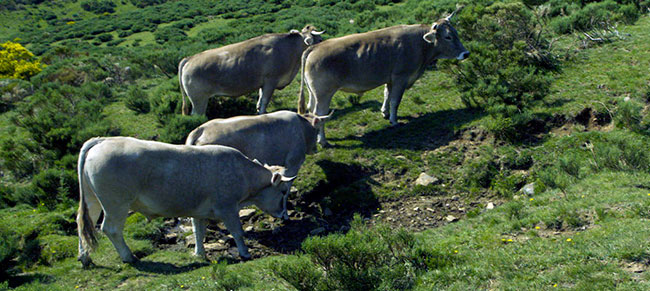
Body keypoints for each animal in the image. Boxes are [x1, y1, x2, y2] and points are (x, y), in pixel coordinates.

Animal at [178, 25, 322, 116]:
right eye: (320, 39)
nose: (323, 42)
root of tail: (189, 58)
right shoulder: (271, 81)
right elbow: (265, 101)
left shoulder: (263, 84)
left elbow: (259, 100)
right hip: (199, 99)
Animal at [296, 13, 468, 146]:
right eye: (448, 36)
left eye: (456, 33)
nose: (466, 53)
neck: (419, 44)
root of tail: (314, 47)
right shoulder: (401, 77)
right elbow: (395, 100)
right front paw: (394, 120)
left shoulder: (390, 78)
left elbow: (387, 95)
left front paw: (385, 112)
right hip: (324, 94)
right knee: (319, 114)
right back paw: (323, 141)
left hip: (313, 93)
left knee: (311, 110)